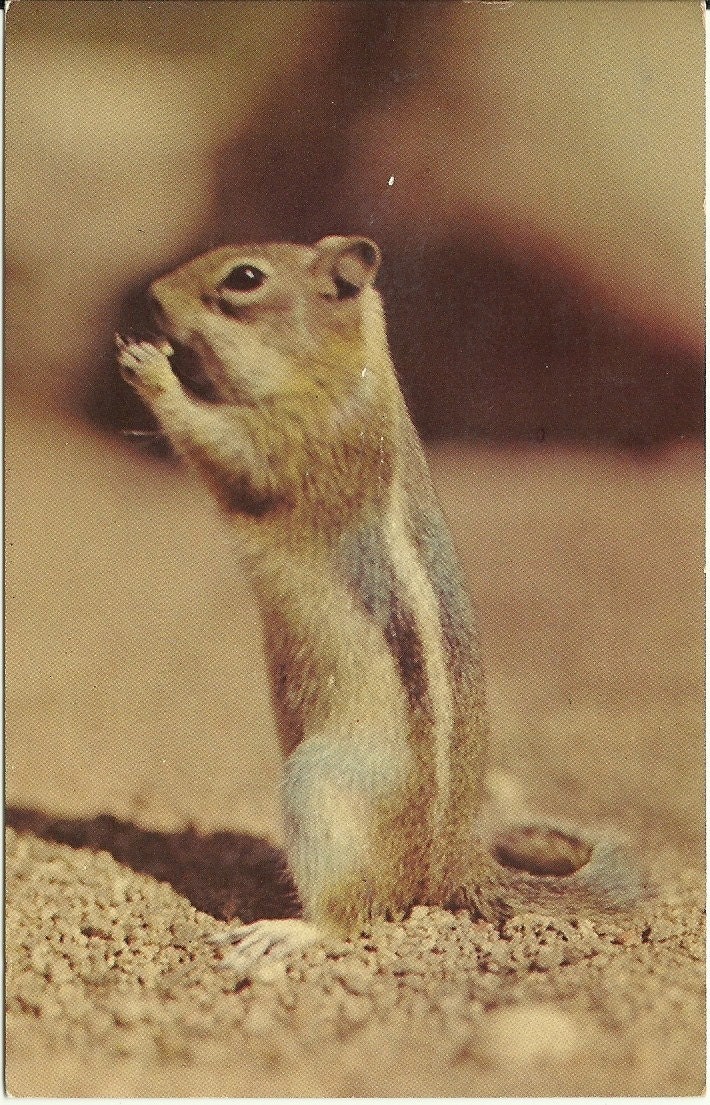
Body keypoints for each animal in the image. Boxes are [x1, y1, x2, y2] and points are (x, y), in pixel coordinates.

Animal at [116, 235, 645, 974]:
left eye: (245, 278)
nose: (152, 295)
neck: (340, 369)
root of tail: (449, 860)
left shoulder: (299, 443)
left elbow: (234, 457)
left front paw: (153, 368)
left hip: (319, 787)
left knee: (353, 911)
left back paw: (287, 930)